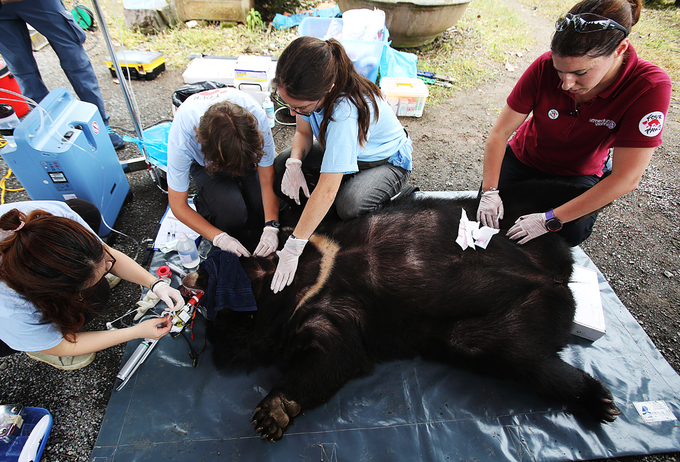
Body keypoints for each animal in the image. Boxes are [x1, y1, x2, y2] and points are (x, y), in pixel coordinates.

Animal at [187, 180, 620, 440]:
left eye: (209, 271)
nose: (192, 276)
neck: (306, 278)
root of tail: (557, 278)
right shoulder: (328, 313)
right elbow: (333, 354)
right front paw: (274, 412)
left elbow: (330, 357)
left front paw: (269, 412)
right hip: (503, 322)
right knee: (526, 359)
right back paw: (600, 399)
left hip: (504, 219)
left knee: (522, 198)